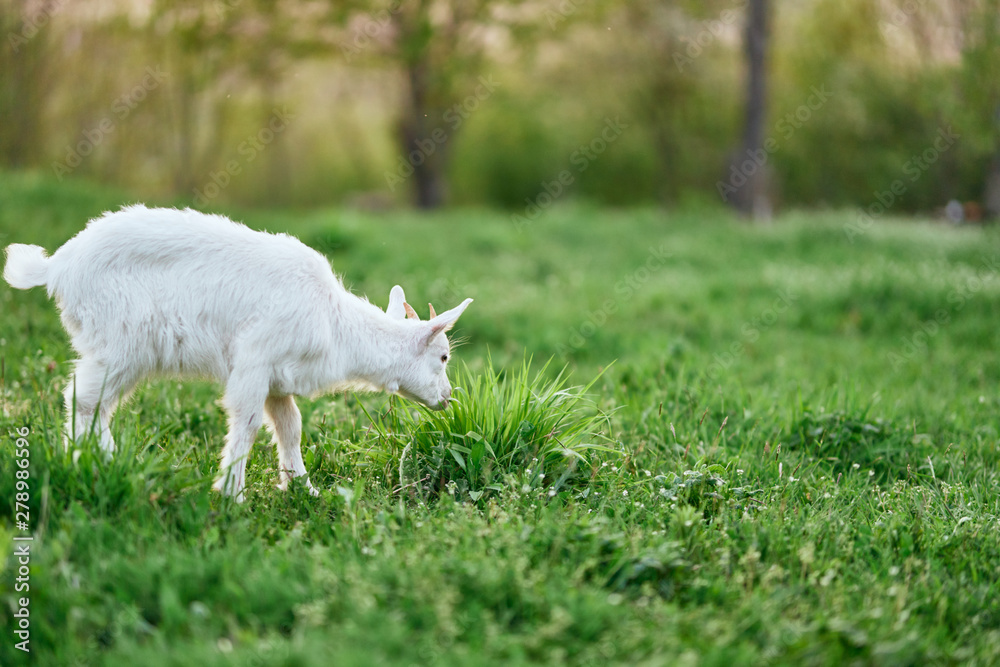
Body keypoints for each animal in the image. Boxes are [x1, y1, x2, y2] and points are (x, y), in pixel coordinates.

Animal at [3, 205, 472, 502]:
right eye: (444, 357)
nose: (448, 400)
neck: (334, 323)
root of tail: (56, 267)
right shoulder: (254, 361)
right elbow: (245, 423)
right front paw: (232, 495)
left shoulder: (278, 378)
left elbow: (290, 426)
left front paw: (302, 488)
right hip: (121, 342)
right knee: (84, 399)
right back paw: (94, 461)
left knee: (93, 402)